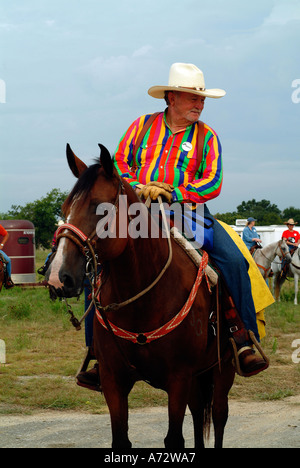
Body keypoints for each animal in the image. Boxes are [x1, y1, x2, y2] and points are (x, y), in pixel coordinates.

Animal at [47, 144, 236, 450]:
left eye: (100, 207)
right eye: (65, 209)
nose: (57, 276)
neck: (142, 302)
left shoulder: (179, 378)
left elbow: (174, 439)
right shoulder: (113, 380)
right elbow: (121, 439)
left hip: (223, 369)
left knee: (218, 417)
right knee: (198, 413)